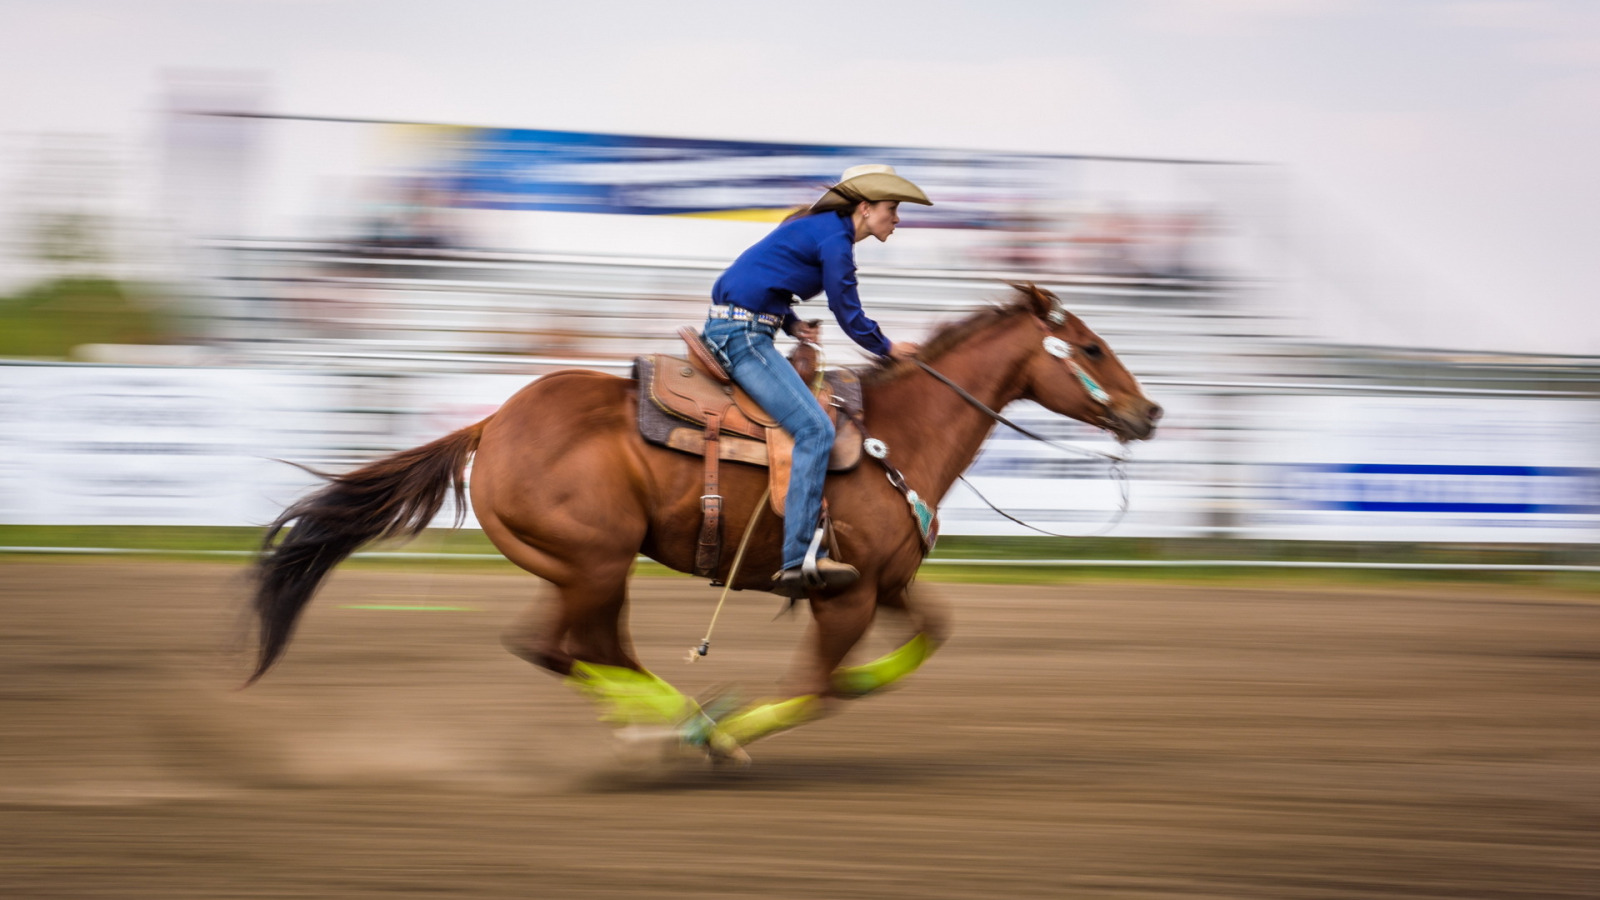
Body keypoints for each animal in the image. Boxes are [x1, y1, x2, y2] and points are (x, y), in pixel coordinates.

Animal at [240, 283, 1164, 759]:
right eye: (1089, 347)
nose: (1147, 412)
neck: (900, 434)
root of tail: (491, 424)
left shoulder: (888, 583)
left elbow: (926, 638)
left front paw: (853, 686)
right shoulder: (844, 596)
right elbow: (814, 689)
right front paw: (738, 731)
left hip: (577, 569)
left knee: (562, 647)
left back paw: (669, 719)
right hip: (595, 563)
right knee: (581, 648)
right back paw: (691, 725)